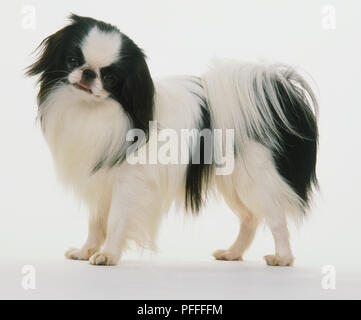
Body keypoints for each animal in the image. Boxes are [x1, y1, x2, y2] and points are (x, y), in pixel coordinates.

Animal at [26, 13, 318, 266]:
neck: (93, 111)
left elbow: (116, 221)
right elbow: (96, 223)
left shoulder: (129, 184)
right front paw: (86, 250)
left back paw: (283, 258)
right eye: (73, 60)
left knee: (276, 219)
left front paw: (108, 255)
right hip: (234, 184)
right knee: (249, 219)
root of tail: (278, 91)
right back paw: (233, 253)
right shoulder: (100, 181)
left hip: (256, 180)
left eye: (109, 78)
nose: (88, 73)